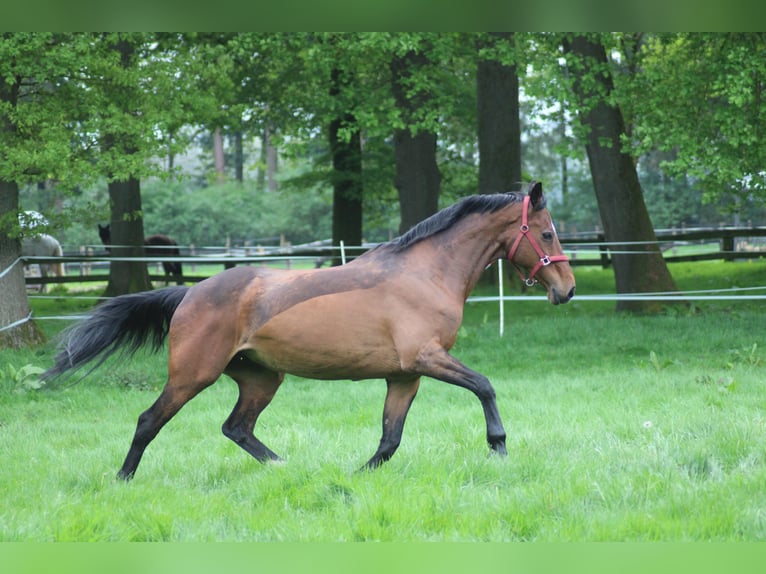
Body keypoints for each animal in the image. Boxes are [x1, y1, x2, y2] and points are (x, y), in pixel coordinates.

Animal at [46, 183, 576, 482]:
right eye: (547, 233)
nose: (566, 289)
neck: (425, 274)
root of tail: (189, 294)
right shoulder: (426, 359)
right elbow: (484, 386)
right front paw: (499, 446)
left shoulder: (405, 375)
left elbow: (390, 438)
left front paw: (358, 475)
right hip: (192, 376)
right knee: (148, 421)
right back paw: (122, 478)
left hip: (261, 378)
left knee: (236, 427)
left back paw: (285, 467)